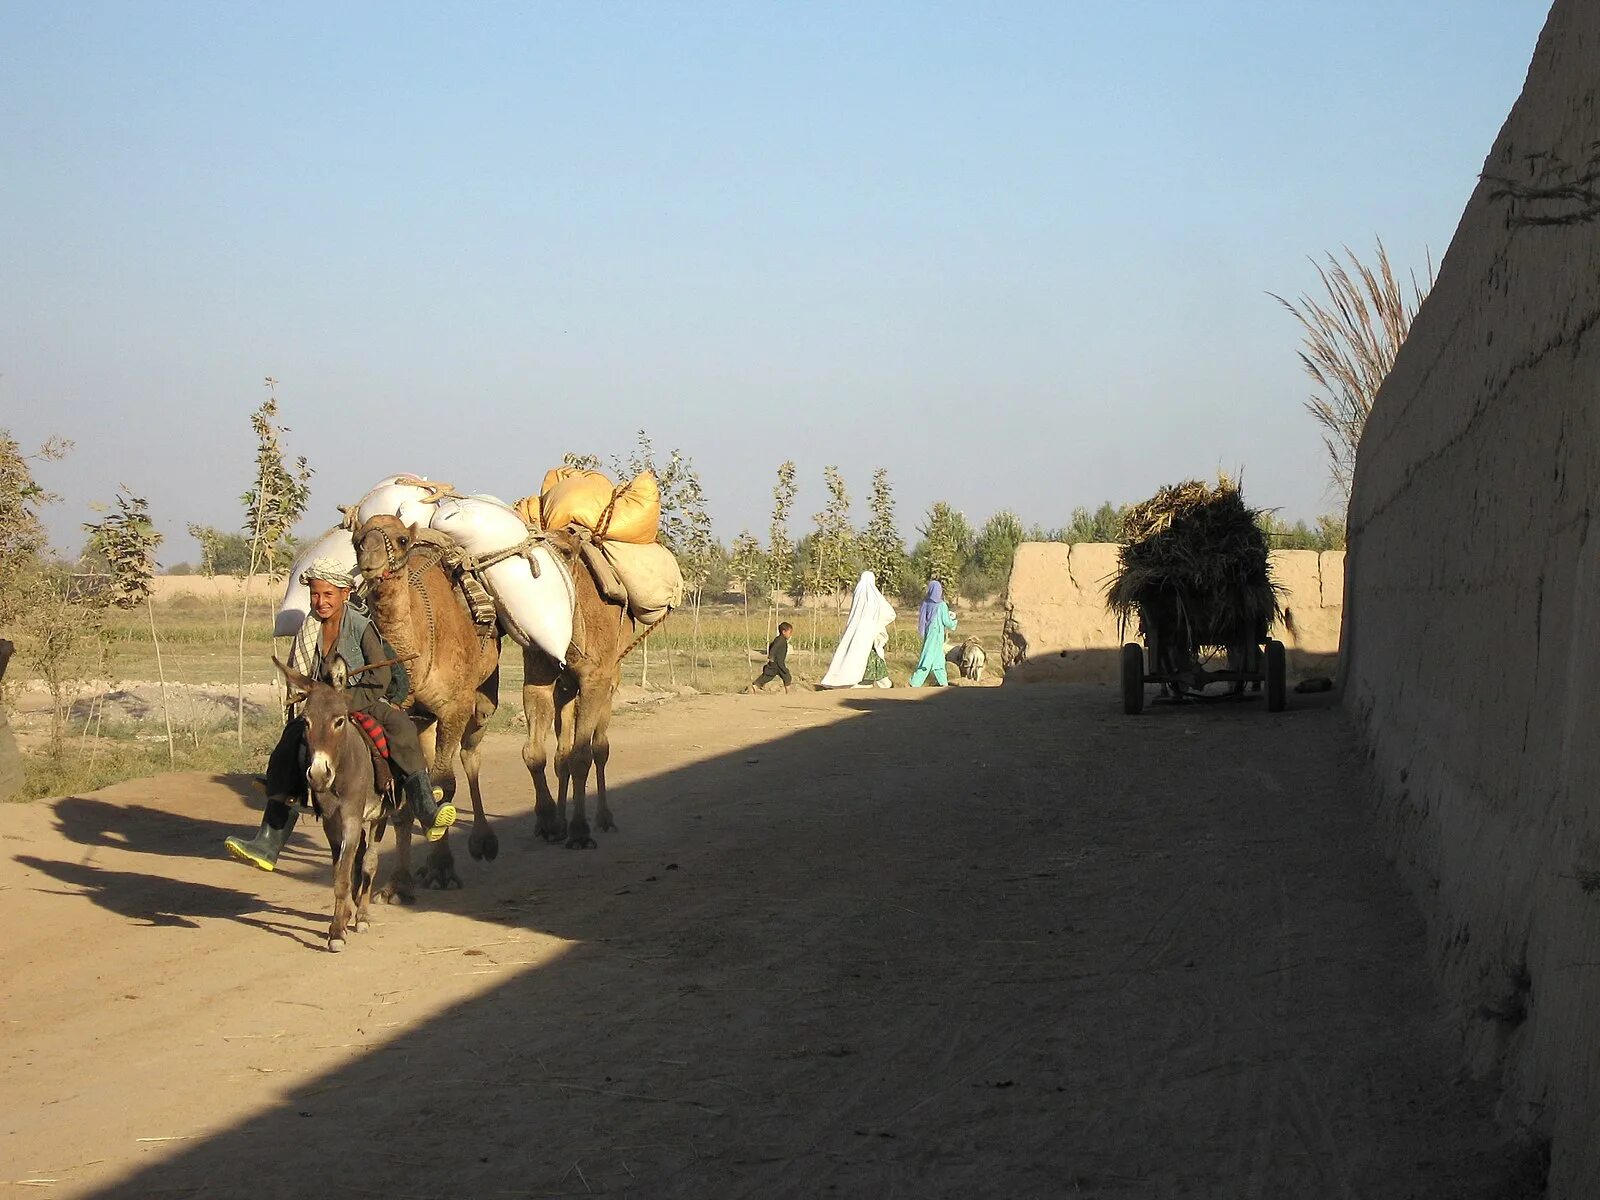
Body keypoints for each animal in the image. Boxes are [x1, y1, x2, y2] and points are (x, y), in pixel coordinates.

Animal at [355, 512, 499, 896]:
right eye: (357, 539)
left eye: (401, 540)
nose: (370, 557)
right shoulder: (402, 715)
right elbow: (409, 792)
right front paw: (399, 881)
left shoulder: (455, 705)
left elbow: (444, 784)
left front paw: (443, 870)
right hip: (425, 719)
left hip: (481, 699)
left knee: (470, 755)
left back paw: (483, 842)